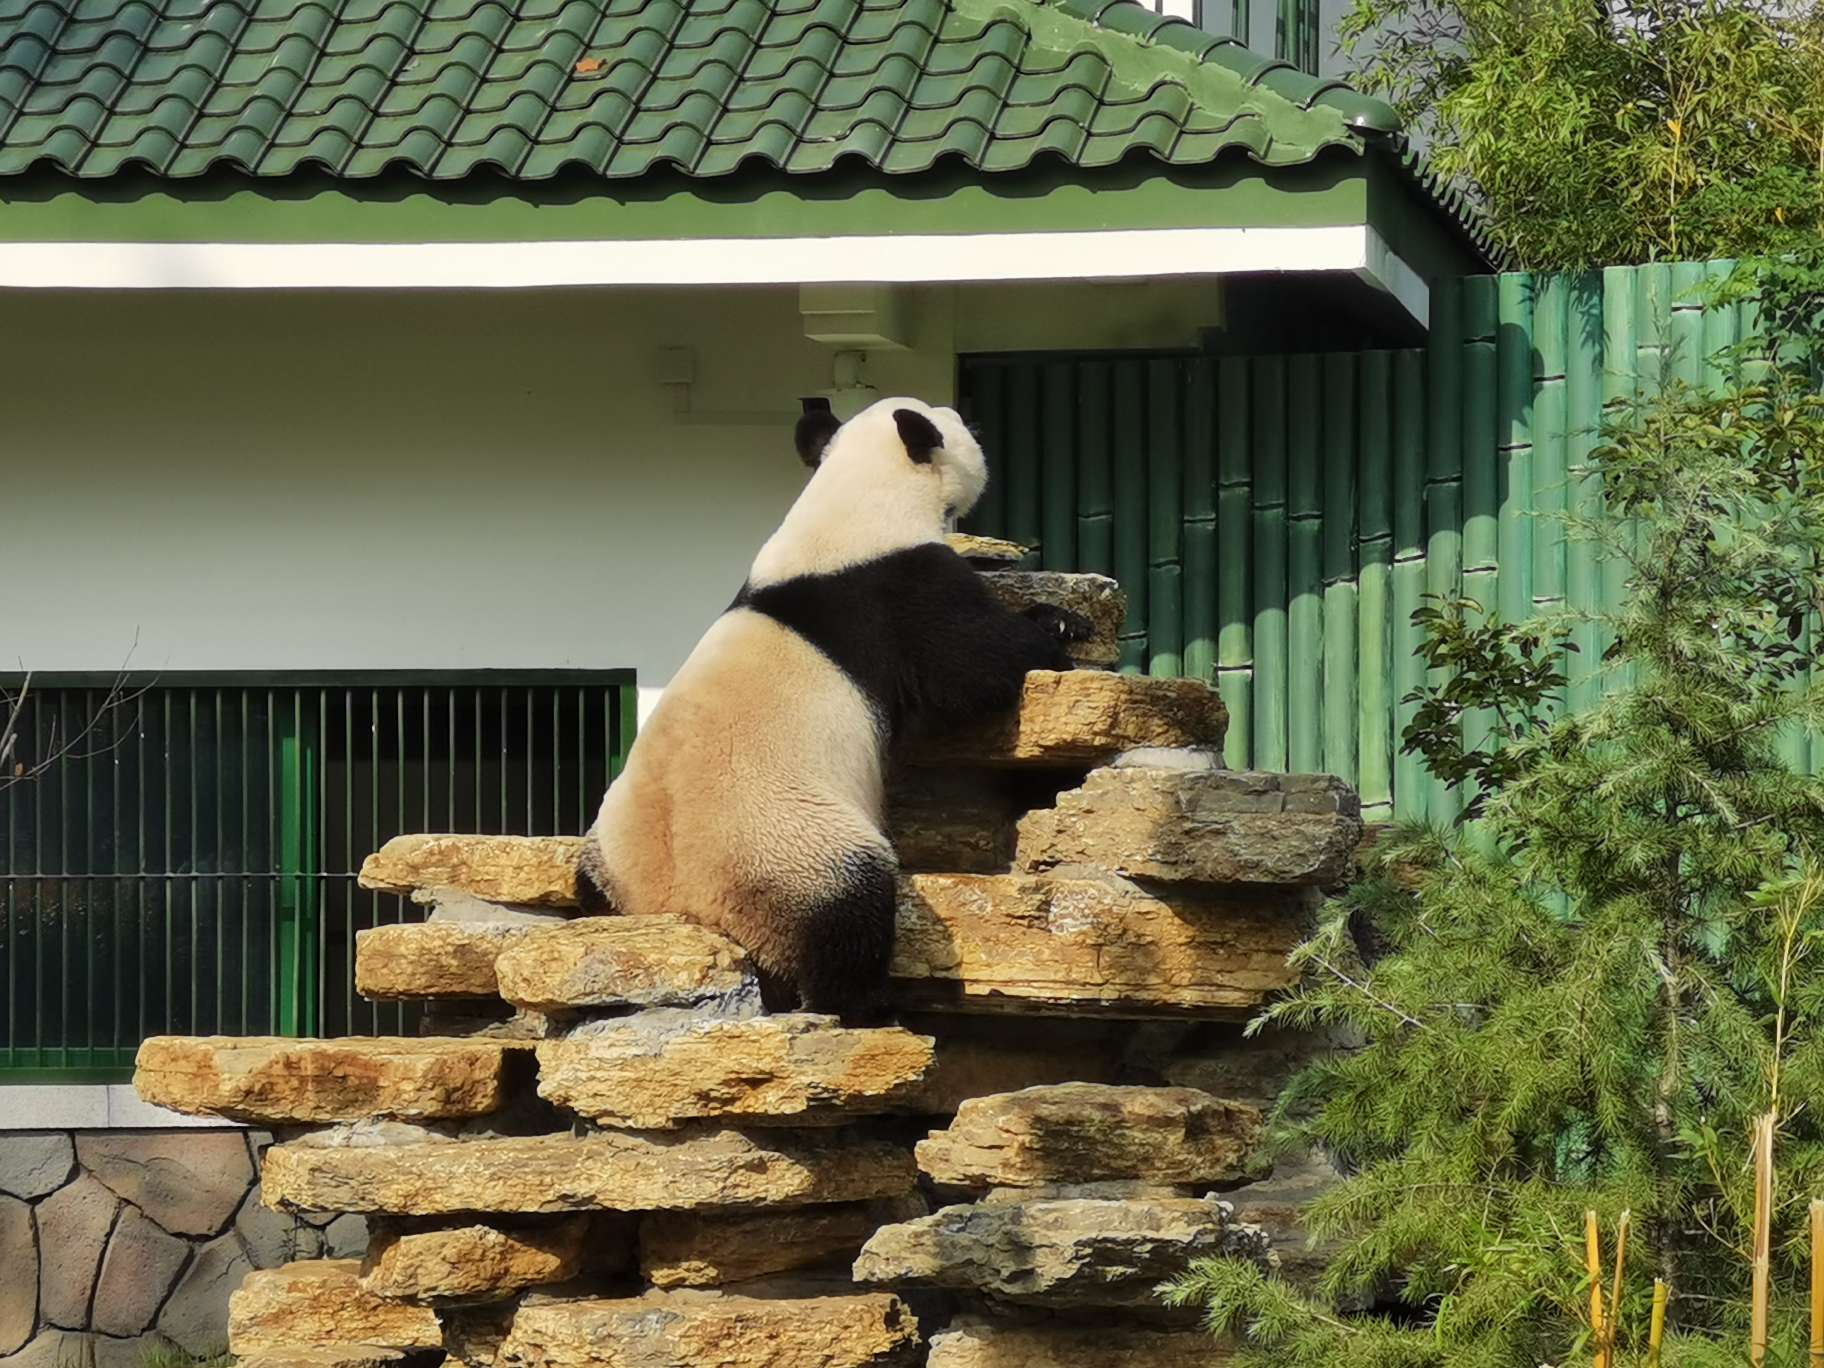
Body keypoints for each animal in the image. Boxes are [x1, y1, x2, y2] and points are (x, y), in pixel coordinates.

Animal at [576, 395, 1079, 1021]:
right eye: (966, 427)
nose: (974, 424)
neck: (855, 496)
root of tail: (678, 905)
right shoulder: (899, 590)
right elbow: (972, 667)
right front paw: (1056, 628)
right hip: (793, 847)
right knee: (849, 912)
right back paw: (870, 1005)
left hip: (606, 853)